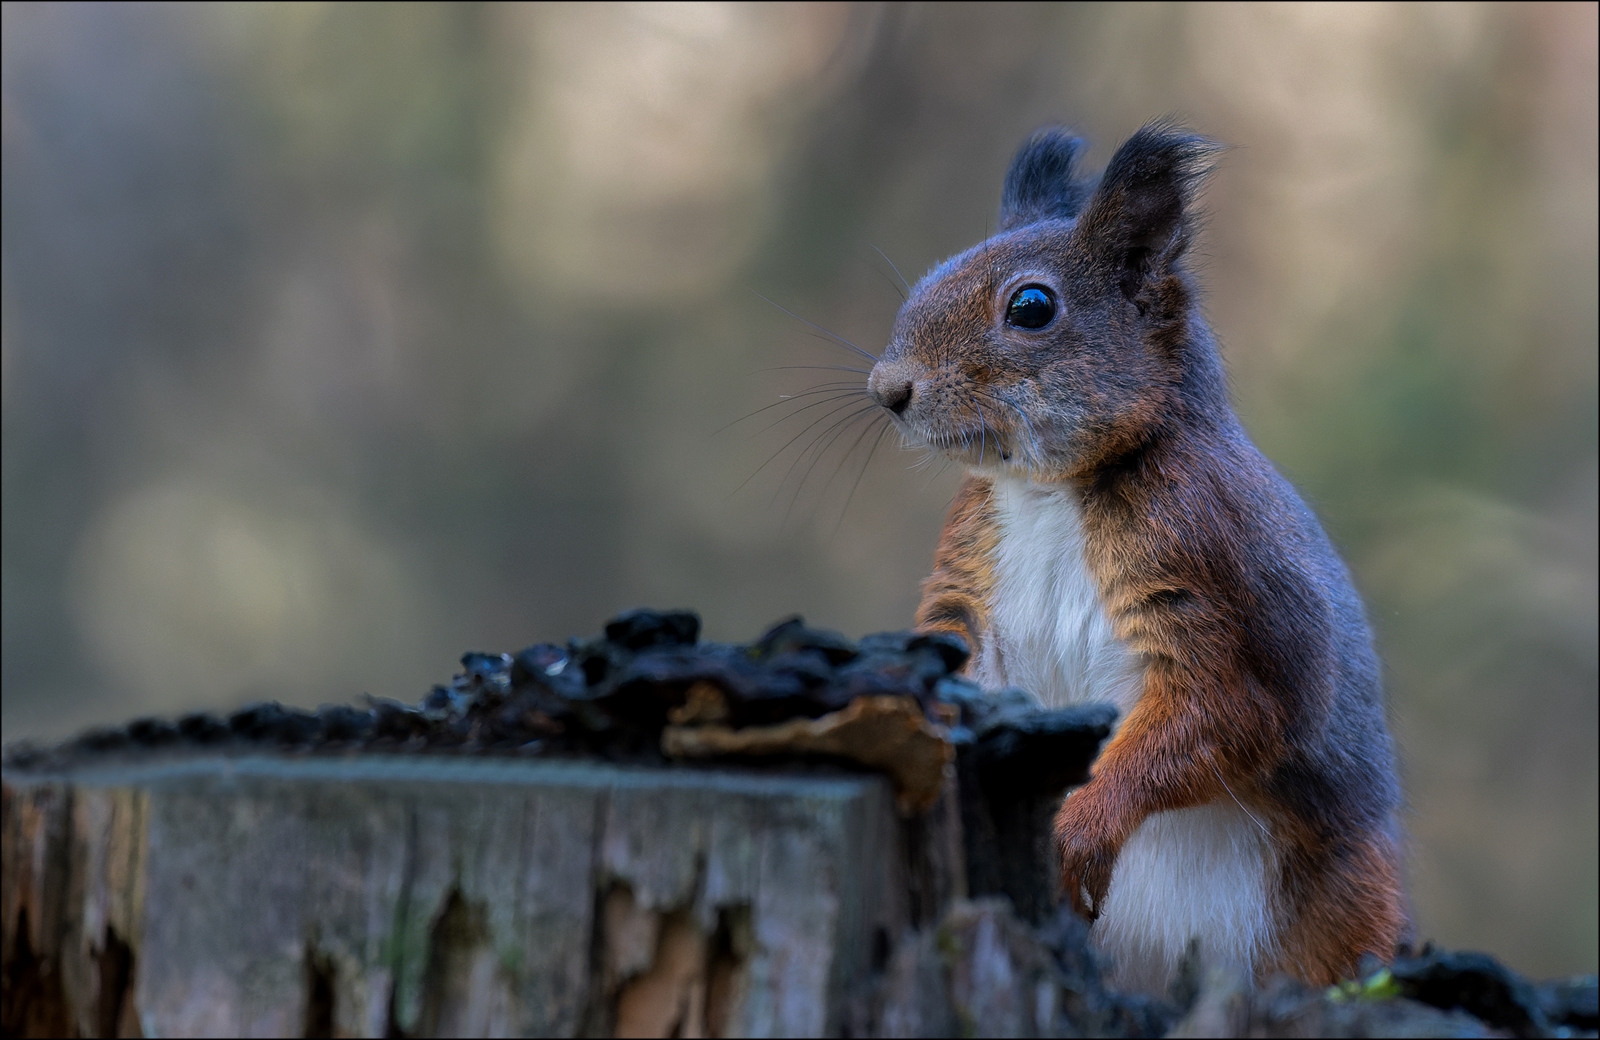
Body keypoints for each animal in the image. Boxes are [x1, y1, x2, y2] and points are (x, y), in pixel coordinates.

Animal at [870, 123, 1408, 985]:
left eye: (1031, 307)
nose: (887, 388)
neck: (1048, 490)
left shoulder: (1218, 568)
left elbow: (1221, 713)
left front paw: (1079, 827)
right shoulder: (968, 570)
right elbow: (955, 648)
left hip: (1341, 905)